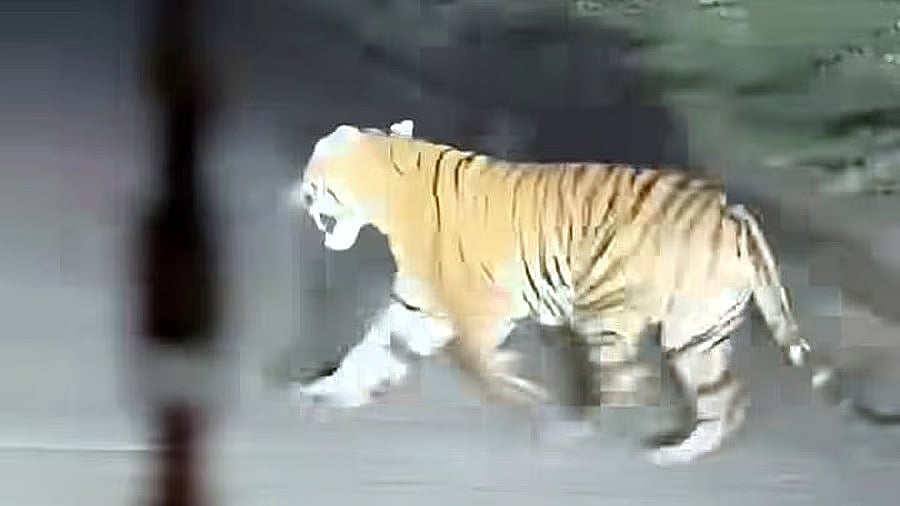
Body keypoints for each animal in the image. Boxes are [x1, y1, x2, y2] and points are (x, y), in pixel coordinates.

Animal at [288, 119, 899, 466]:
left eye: (316, 175)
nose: (303, 193)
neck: (389, 196)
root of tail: (736, 212)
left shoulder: (481, 305)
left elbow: (476, 358)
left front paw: (520, 387)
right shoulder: (418, 305)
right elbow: (372, 351)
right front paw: (326, 391)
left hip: (606, 312)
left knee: (632, 382)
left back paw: (583, 427)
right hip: (696, 332)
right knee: (725, 398)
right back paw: (677, 452)